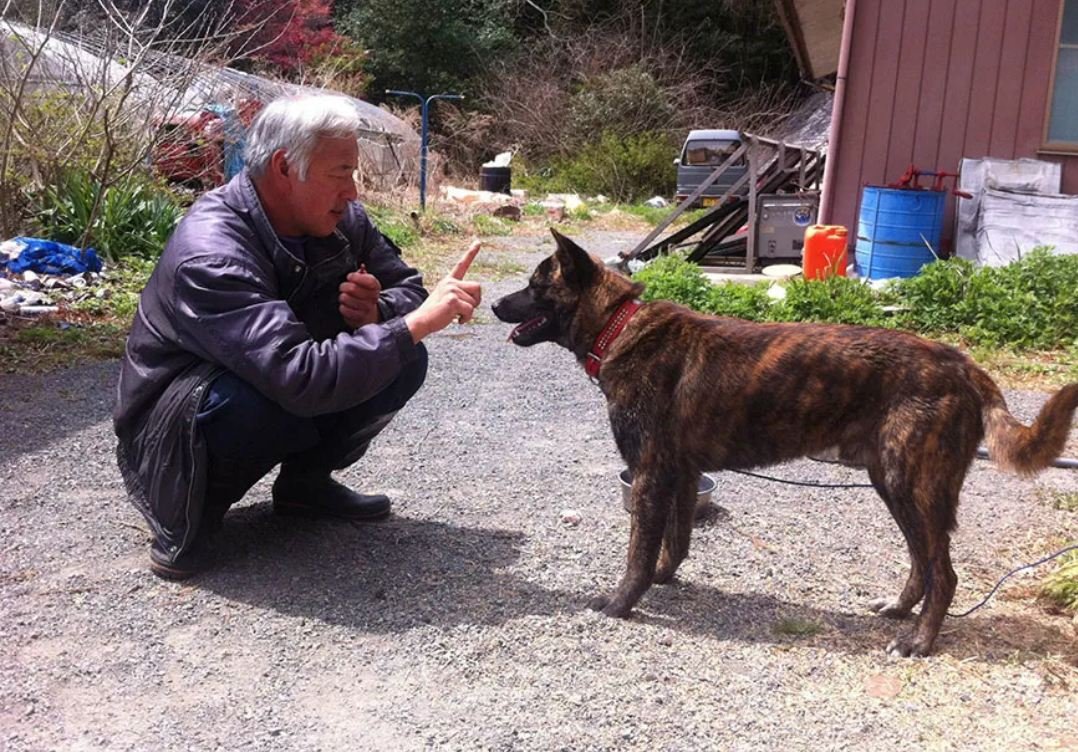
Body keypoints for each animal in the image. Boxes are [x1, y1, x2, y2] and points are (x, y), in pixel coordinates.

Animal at [493, 229, 1073, 655]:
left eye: (536, 285)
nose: (496, 304)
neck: (618, 327)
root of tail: (963, 366)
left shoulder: (651, 475)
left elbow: (638, 552)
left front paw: (621, 604)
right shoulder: (680, 476)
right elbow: (675, 543)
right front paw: (663, 579)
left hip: (913, 487)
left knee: (945, 574)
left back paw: (919, 641)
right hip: (894, 487)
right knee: (923, 563)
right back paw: (900, 610)